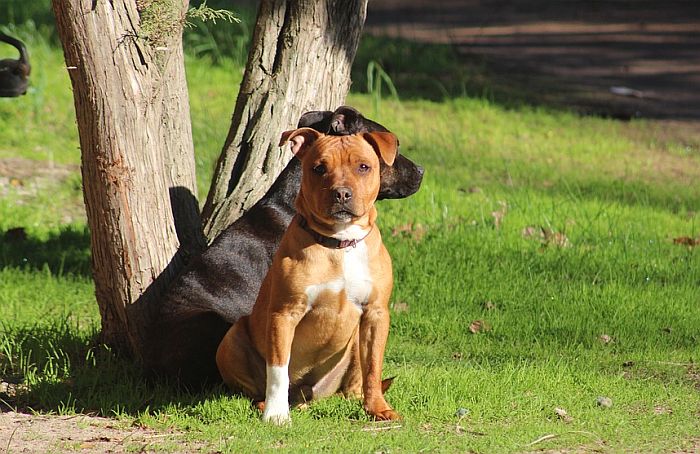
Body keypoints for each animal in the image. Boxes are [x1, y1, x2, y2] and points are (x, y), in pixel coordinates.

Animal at [216, 126, 402, 424]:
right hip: (231, 339)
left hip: (353, 343)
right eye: (319, 168)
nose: (341, 193)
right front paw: (276, 414)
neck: (340, 242)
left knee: (353, 383)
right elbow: (278, 370)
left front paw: (378, 408)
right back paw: (268, 404)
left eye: (363, 167)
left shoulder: (376, 312)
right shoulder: (284, 313)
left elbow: (373, 366)